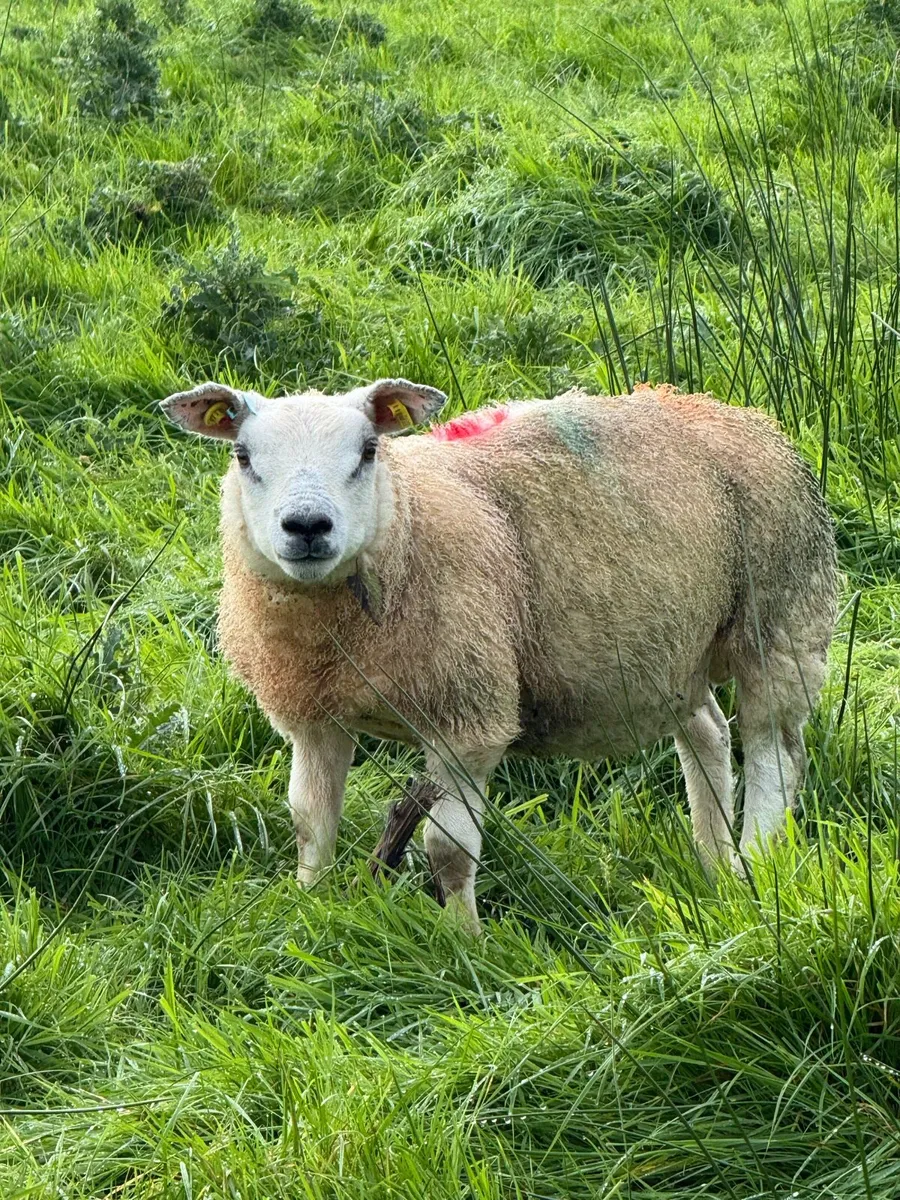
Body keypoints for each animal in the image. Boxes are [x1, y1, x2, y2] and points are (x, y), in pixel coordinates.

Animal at [161, 378, 837, 931]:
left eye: (368, 451)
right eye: (243, 456)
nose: (307, 526)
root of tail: (730, 412)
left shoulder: (469, 719)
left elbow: (447, 852)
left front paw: (465, 945)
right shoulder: (312, 717)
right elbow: (309, 821)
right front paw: (312, 907)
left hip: (779, 620)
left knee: (774, 756)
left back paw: (756, 863)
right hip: (667, 651)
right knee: (709, 735)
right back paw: (714, 863)